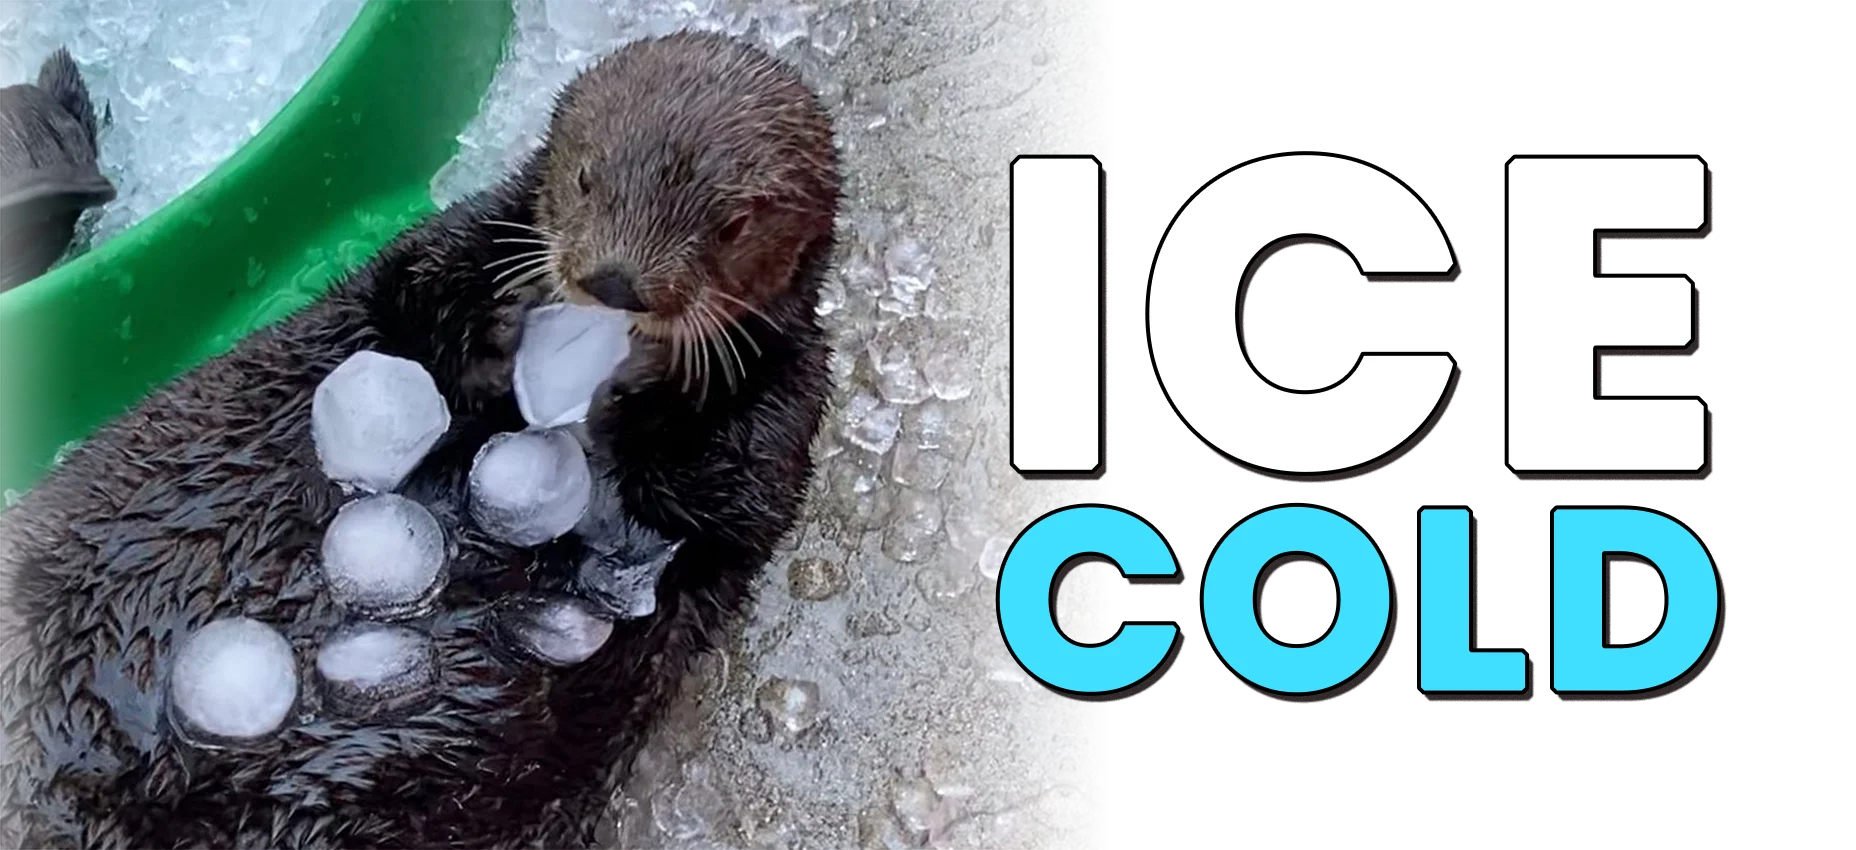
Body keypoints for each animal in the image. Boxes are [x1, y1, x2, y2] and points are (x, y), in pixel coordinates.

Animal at [0, 30, 837, 850]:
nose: (615, 285)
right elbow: (414, 294)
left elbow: (713, 494)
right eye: (586, 179)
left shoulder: (783, 414)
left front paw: (641, 394)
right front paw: (506, 328)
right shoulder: (455, 240)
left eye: (731, 227)